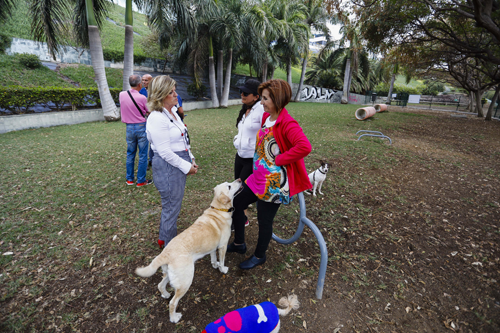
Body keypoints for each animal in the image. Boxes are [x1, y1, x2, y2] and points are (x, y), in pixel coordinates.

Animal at [134, 179, 241, 322]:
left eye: (228, 182)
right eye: (229, 186)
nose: (239, 179)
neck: (219, 209)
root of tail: (165, 253)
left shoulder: (212, 247)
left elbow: (213, 258)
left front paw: (215, 264)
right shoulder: (222, 246)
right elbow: (222, 260)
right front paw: (222, 269)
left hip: (170, 274)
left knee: (160, 285)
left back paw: (165, 294)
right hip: (185, 281)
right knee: (173, 302)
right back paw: (174, 318)